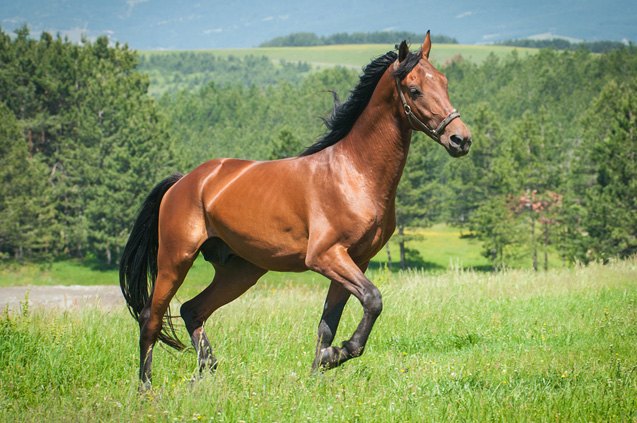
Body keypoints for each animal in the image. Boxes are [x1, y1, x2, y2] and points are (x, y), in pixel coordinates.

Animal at [120, 32, 472, 390]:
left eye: (444, 82)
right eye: (414, 90)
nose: (460, 139)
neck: (354, 173)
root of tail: (184, 182)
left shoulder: (355, 260)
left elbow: (328, 323)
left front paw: (321, 368)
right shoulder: (326, 256)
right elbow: (373, 300)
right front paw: (339, 353)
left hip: (241, 271)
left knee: (192, 310)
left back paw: (205, 373)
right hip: (175, 260)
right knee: (151, 317)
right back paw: (146, 388)